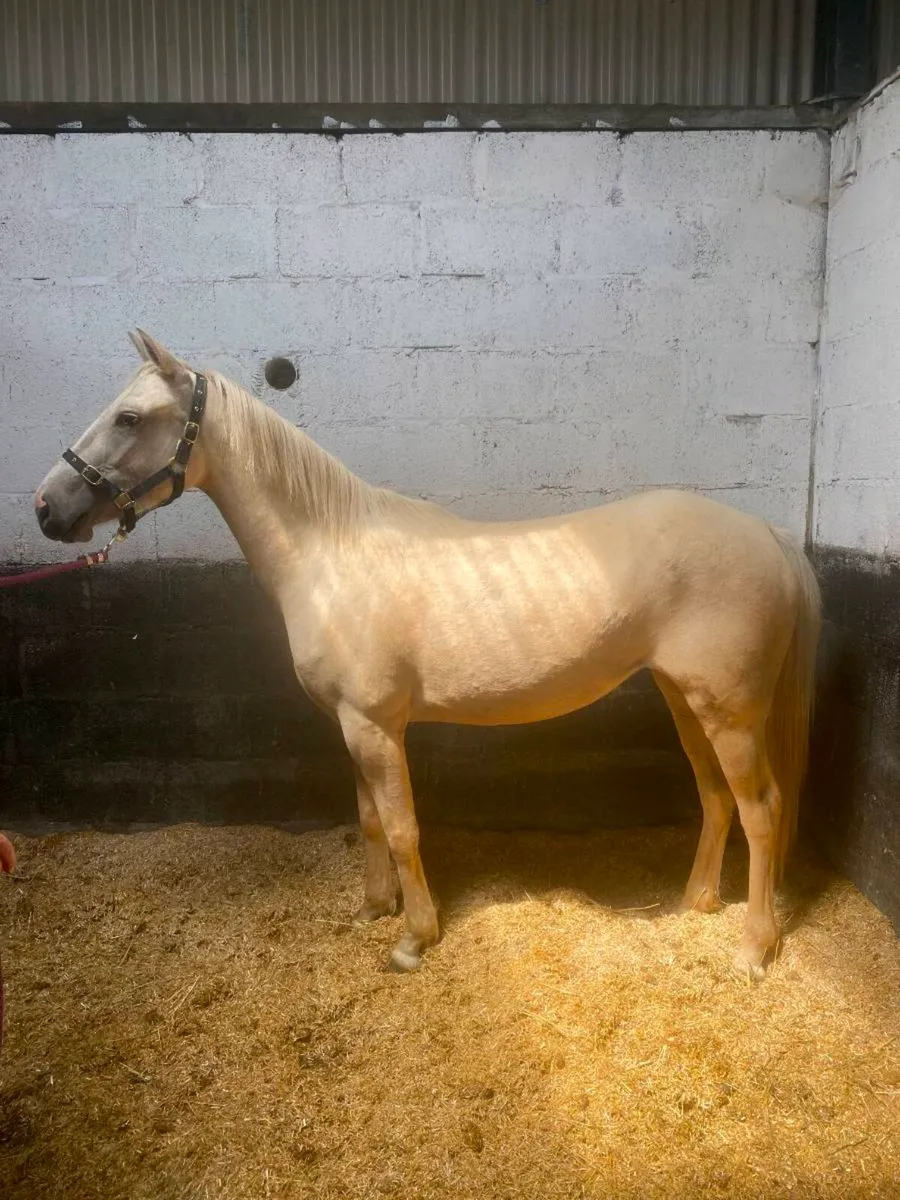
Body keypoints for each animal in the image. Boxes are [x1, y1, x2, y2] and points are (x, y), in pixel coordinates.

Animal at [35, 330, 820, 980]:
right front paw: (372, 910)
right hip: (684, 698)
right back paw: (695, 904)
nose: (48, 507)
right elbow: (370, 820)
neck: (331, 553)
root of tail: (768, 533)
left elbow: (404, 825)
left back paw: (753, 951)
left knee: (762, 809)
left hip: (729, 712)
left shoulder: (376, 725)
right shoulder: (351, 726)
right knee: (716, 798)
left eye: (129, 418)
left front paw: (414, 938)